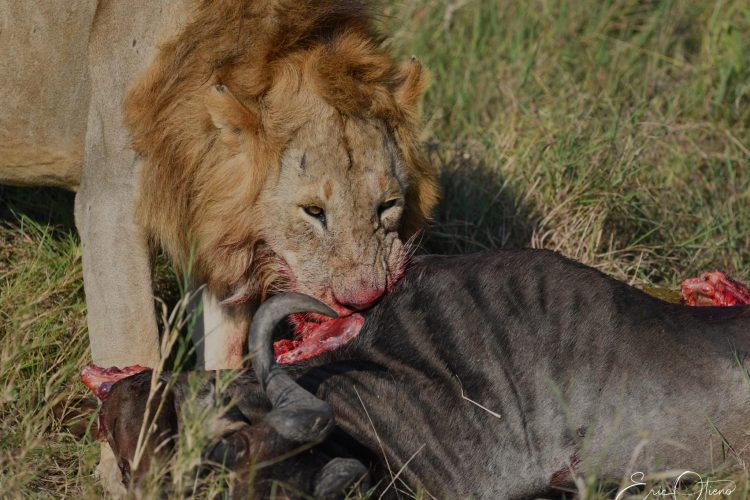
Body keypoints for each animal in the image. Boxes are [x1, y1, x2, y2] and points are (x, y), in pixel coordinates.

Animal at [1, 0, 437, 491]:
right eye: (313, 211)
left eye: (388, 205)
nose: (364, 299)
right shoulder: (107, 201)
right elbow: (132, 343)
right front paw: (124, 472)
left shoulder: (206, 223)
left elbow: (221, 344)